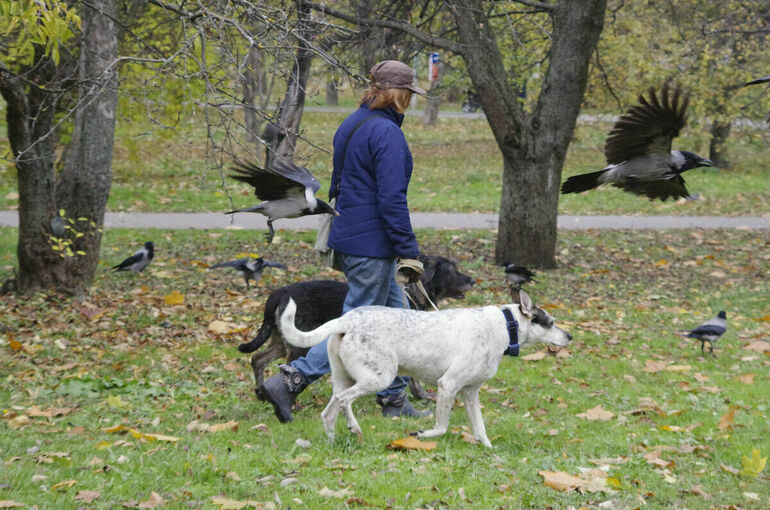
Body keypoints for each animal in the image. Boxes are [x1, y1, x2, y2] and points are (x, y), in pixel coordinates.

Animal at [240, 256, 472, 396]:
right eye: (453, 271)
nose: (473, 280)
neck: (411, 294)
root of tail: (279, 293)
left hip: (280, 339)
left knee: (257, 358)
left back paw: (260, 391)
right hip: (299, 343)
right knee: (288, 368)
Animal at [278, 288, 568, 448]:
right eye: (551, 322)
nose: (570, 336)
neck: (505, 325)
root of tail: (345, 319)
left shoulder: (470, 392)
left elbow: (480, 429)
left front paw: (489, 450)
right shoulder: (447, 386)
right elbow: (441, 427)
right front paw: (421, 433)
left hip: (345, 379)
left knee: (329, 413)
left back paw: (335, 442)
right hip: (379, 378)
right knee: (344, 401)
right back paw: (353, 428)